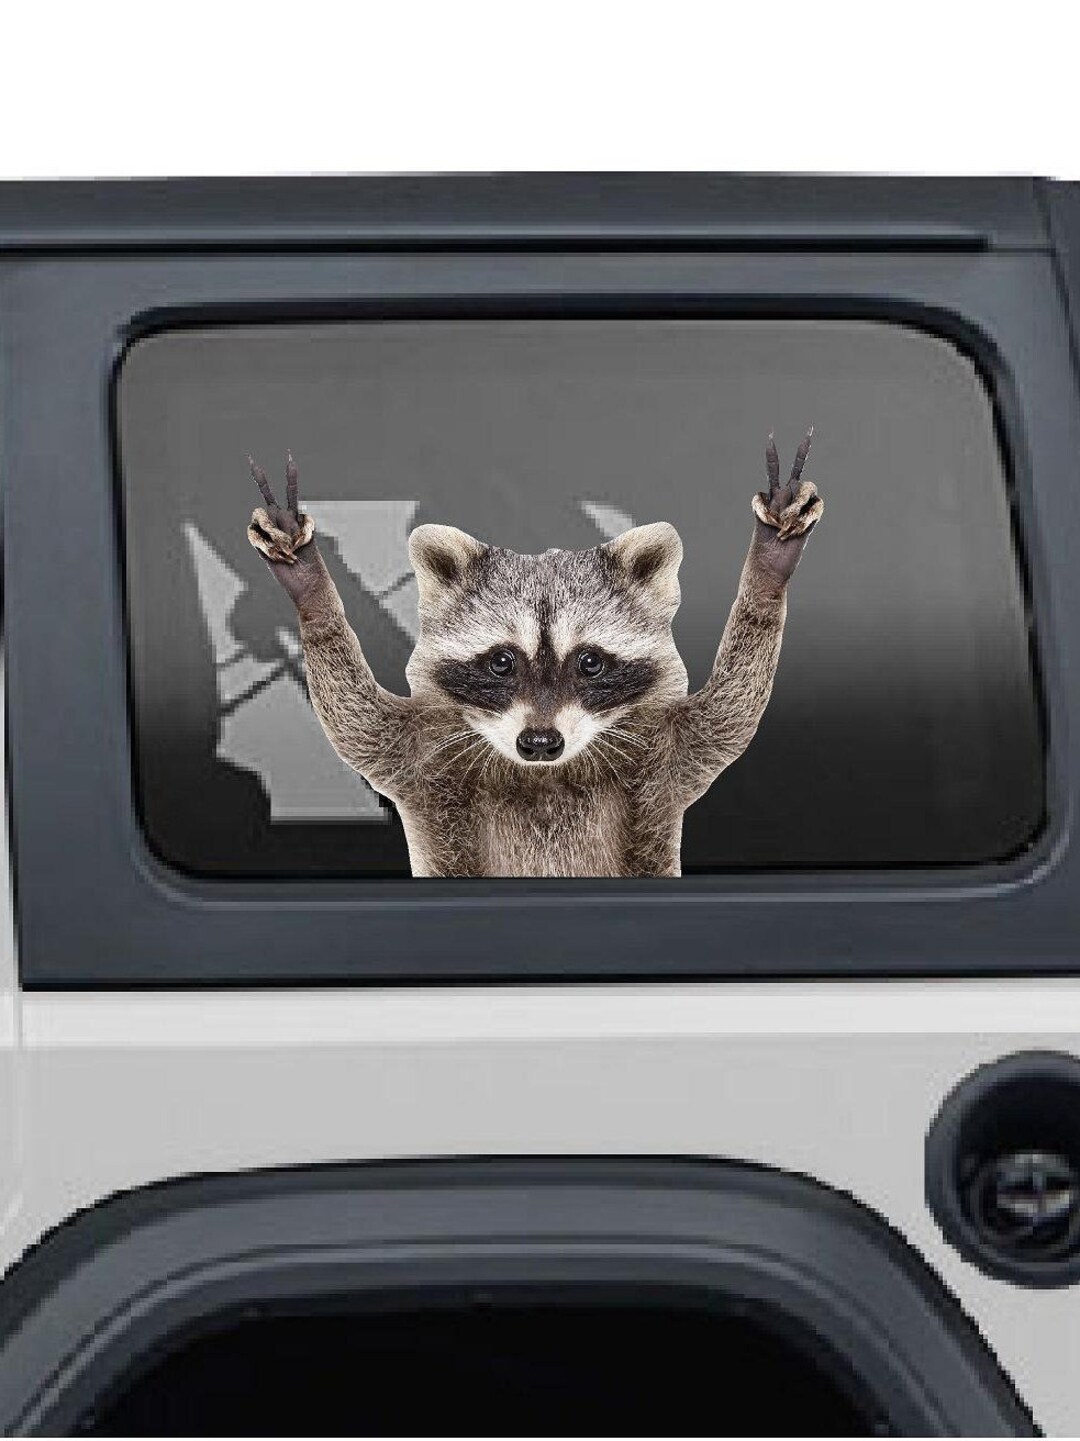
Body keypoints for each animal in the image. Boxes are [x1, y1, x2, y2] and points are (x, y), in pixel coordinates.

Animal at [246, 432, 823, 877]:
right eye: (502, 662)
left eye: (590, 662)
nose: (540, 743)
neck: (548, 776)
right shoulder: (422, 760)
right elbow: (357, 721)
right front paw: (310, 587)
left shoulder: (666, 759)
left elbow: (728, 713)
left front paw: (769, 565)